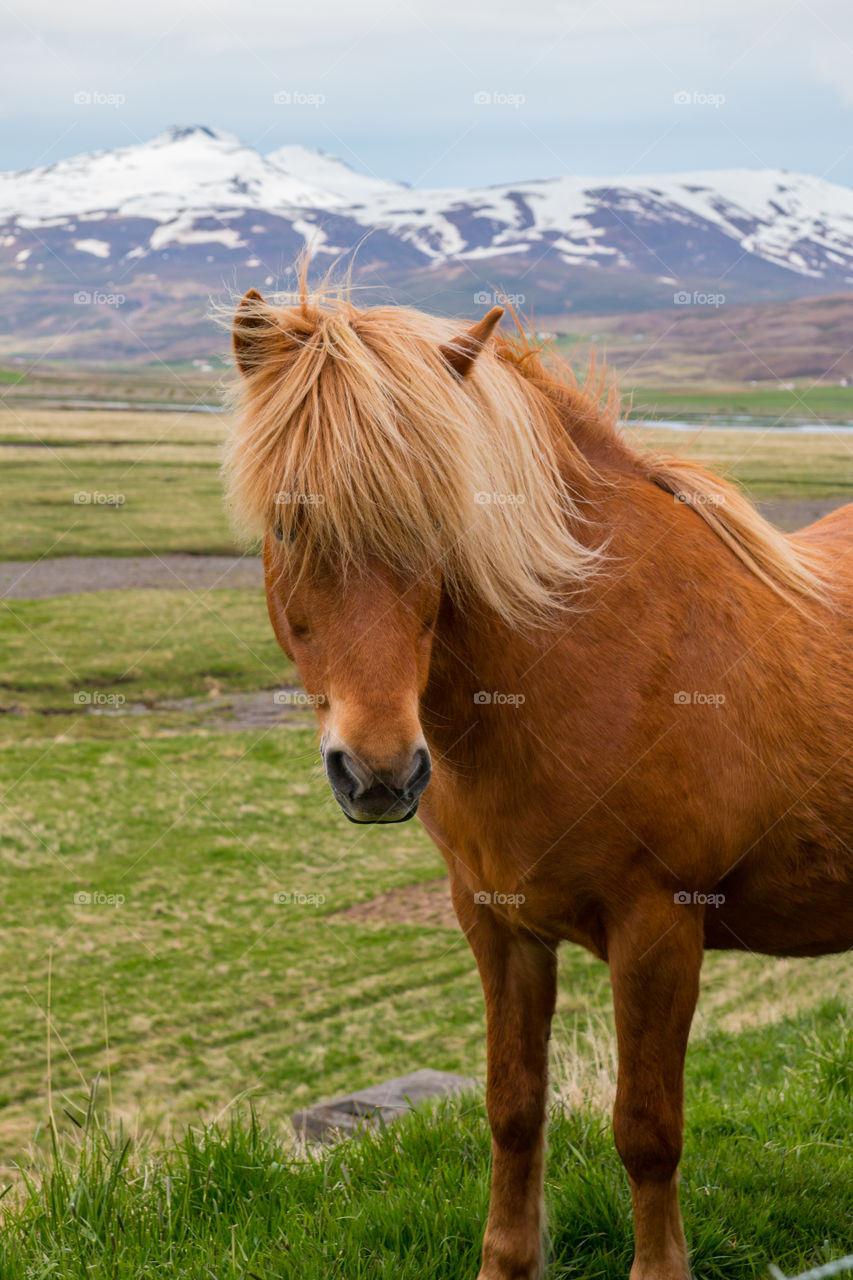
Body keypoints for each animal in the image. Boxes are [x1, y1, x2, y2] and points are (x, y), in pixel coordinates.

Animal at [224, 286, 853, 1280]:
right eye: (288, 523)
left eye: (436, 525)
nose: (379, 771)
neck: (578, 658)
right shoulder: (498, 927)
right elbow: (512, 1111)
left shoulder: (657, 930)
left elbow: (646, 1129)